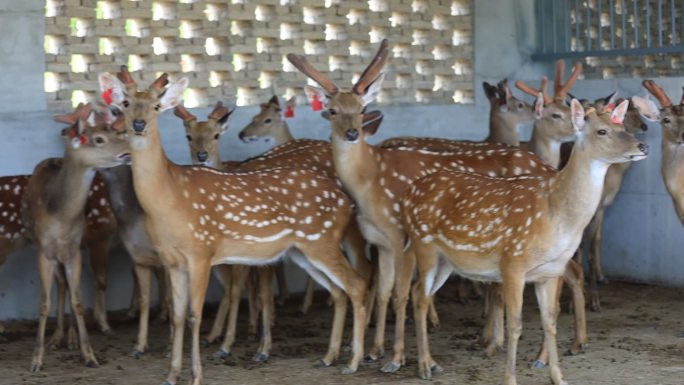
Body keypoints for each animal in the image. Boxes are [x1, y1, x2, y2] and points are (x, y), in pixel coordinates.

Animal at [21, 102, 131, 368]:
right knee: (61, 286)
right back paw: (57, 337)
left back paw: (70, 339)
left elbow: (79, 300)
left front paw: (89, 354)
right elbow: (44, 303)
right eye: (99, 139)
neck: (60, 217)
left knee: (69, 289)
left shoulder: (74, 250)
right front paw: (36, 359)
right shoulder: (45, 251)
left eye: (117, 134)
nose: (128, 152)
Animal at [96, 67, 368, 382]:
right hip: (301, 251)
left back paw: (354, 361)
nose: (139, 124)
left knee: (357, 284)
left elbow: (195, 315)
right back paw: (328, 357)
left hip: (322, 239)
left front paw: (197, 375)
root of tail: (344, 199)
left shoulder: (201, 252)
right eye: (126, 104)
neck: (169, 199)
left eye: (155, 106)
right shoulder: (172, 260)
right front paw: (172, 375)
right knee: (338, 291)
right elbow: (177, 316)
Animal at [400, 97, 648, 382]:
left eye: (623, 127)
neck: (555, 214)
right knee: (419, 294)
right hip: (424, 244)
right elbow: (515, 325)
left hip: (446, 260)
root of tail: (407, 196)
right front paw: (509, 378)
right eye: (602, 131)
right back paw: (424, 365)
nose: (643, 145)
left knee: (421, 292)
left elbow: (549, 322)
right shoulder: (513, 263)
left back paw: (431, 362)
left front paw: (558, 377)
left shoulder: (549, 271)